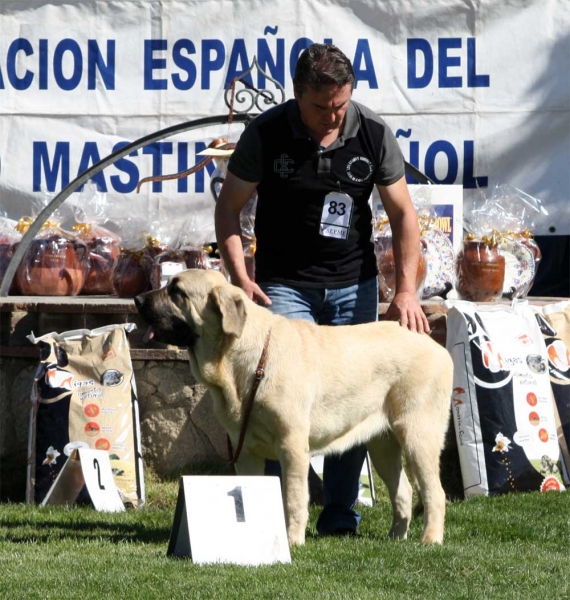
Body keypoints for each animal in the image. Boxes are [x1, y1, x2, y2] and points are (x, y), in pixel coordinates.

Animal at [135, 268, 450, 544]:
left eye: (177, 291)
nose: (137, 299)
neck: (243, 360)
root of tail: (437, 347)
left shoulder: (292, 445)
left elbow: (294, 498)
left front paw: (293, 540)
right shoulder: (246, 450)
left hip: (418, 435)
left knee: (435, 492)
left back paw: (430, 540)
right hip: (383, 444)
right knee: (404, 491)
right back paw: (397, 537)